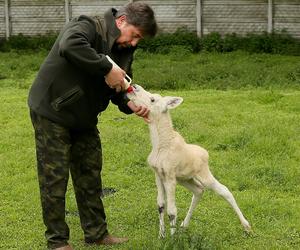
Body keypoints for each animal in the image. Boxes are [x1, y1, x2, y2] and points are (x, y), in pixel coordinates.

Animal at [126, 85, 251, 237]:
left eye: (152, 99)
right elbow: (160, 205)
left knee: (224, 190)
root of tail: (206, 153)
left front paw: (172, 238)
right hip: (185, 178)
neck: (159, 146)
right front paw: (161, 235)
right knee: (199, 191)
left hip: (203, 174)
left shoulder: (170, 175)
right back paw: (184, 225)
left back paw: (246, 226)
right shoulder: (158, 174)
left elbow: (172, 210)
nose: (134, 87)